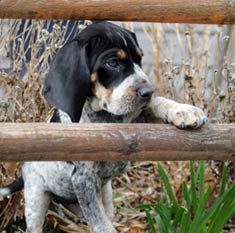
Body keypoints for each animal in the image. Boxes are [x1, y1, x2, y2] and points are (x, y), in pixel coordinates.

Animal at [0, 21, 207, 233]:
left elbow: (157, 103)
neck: (103, 116)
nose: (148, 91)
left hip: (105, 194)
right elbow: (102, 225)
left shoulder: (136, 122)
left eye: (139, 59)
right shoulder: (83, 180)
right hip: (37, 197)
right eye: (113, 63)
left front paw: (183, 110)